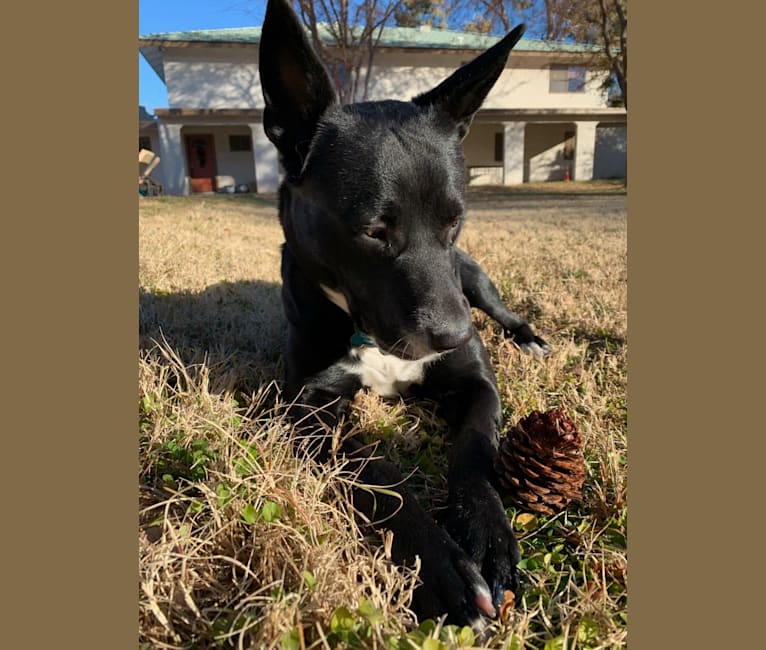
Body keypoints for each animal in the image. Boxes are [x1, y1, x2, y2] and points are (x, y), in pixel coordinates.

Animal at [258, 0, 552, 628]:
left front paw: (487, 537)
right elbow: (376, 472)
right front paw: (441, 568)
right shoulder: (306, 409)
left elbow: (476, 450)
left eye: (455, 219)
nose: (454, 334)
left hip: (475, 281)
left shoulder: (475, 380)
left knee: (501, 308)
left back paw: (528, 338)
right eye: (373, 230)